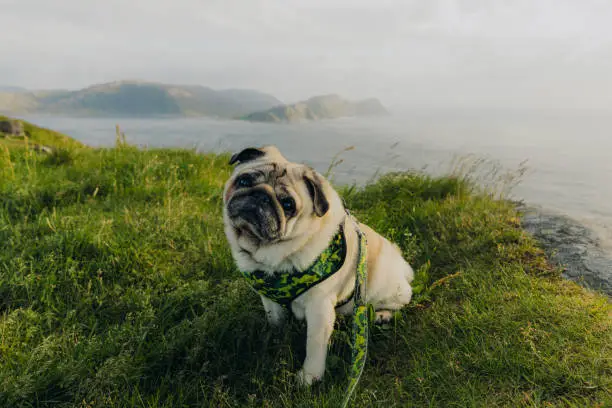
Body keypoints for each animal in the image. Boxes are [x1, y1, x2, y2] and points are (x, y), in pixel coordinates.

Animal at [222, 147, 414, 386]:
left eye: (288, 205)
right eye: (244, 180)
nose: (261, 195)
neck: (274, 256)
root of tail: (403, 266)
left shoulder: (319, 308)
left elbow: (314, 346)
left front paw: (309, 378)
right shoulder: (269, 301)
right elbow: (275, 322)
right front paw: (275, 339)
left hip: (385, 287)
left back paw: (383, 314)